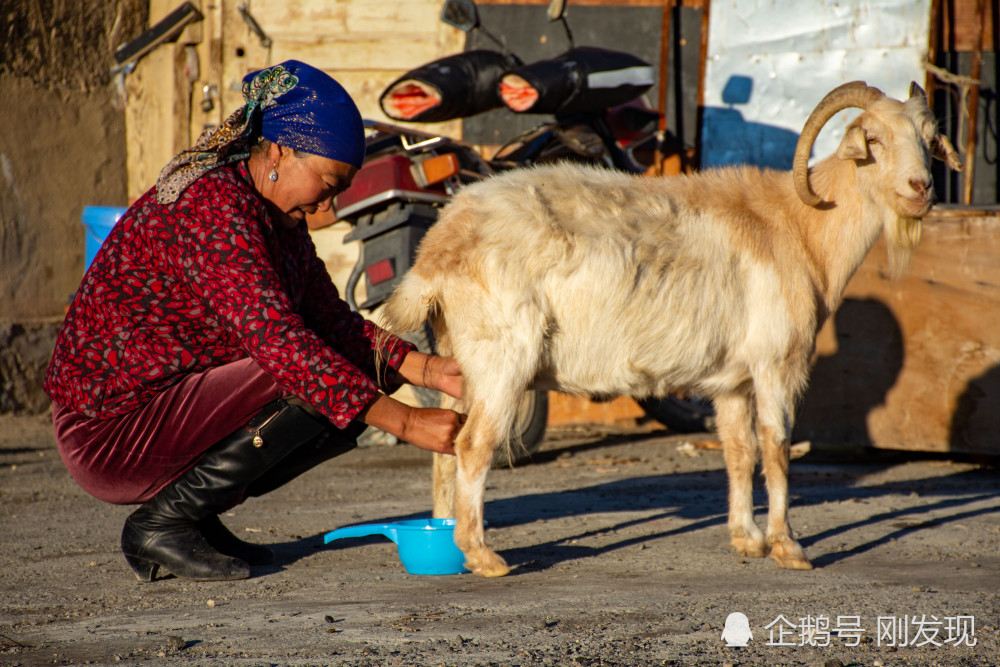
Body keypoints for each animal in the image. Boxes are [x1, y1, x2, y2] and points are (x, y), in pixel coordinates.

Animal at [380, 81, 960, 576]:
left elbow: (738, 450)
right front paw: (789, 547)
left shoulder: (733, 381)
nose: (921, 189)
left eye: (928, 138)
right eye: (874, 140)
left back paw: (449, 547)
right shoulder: (776, 364)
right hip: (502, 358)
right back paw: (483, 556)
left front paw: (746, 538)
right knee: (474, 445)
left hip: (458, 359)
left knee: (445, 447)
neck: (800, 228)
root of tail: (439, 249)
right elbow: (776, 446)